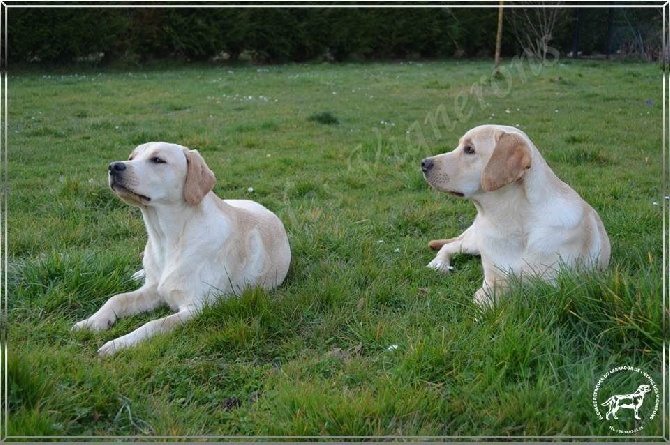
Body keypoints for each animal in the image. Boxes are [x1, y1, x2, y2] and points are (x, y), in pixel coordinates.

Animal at [73, 140, 292, 356]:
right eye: (131, 157)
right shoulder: (153, 290)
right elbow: (117, 299)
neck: (166, 238)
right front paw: (92, 321)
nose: (113, 166)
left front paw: (119, 344)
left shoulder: (197, 308)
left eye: (158, 160)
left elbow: (154, 325)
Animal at [422, 123, 612, 306]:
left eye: (469, 149)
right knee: (450, 245)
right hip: (474, 242)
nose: (424, 162)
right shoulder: (492, 281)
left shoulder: (552, 287)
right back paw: (438, 264)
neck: (510, 221)